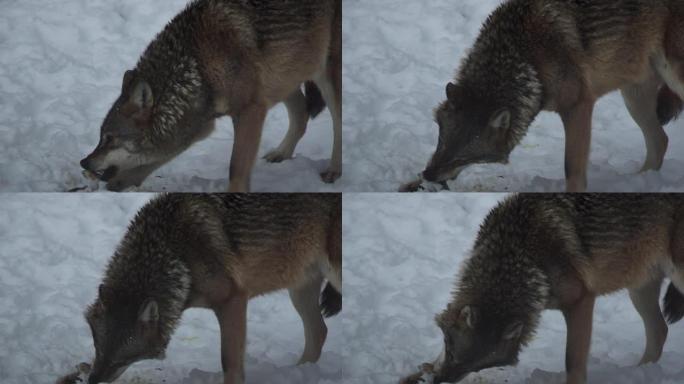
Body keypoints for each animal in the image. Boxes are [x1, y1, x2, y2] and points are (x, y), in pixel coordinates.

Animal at [80, 0, 342, 192]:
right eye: (101, 137)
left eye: (109, 138)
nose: (84, 162)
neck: (198, 65)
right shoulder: (200, 122)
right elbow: (155, 158)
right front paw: (119, 184)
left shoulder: (250, 111)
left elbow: (236, 167)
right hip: (285, 74)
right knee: (302, 113)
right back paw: (281, 153)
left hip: (324, 74)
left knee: (337, 122)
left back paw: (334, 171)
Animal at [85, 195, 342, 384]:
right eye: (98, 348)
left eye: (121, 360)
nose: (92, 380)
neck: (177, 253)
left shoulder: (234, 300)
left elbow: (230, 363)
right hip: (299, 291)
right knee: (320, 332)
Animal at [398, 195, 684, 384]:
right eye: (451, 350)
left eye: (476, 366)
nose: (439, 382)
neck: (519, 251)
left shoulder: (581, 301)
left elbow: (573, 362)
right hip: (639, 290)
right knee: (660, 331)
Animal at [404, 0, 684, 192]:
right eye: (441, 141)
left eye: (463, 157)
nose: (428, 175)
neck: (526, 56)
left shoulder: (579, 106)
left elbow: (572, 169)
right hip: (633, 97)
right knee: (660, 141)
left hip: (671, 80)